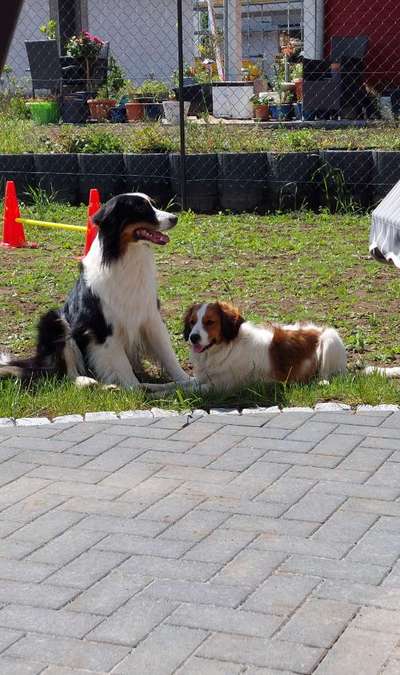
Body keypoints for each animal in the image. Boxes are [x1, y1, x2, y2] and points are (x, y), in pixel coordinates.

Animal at [0, 193, 191, 388]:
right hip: (54, 320)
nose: (175, 218)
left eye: (153, 204)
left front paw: (187, 380)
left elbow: (167, 354)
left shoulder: (150, 316)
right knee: (65, 372)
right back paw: (87, 381)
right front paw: (136, 388)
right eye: (141, 208)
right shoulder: (104, 326)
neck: (124, 256)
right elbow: (122, 365)